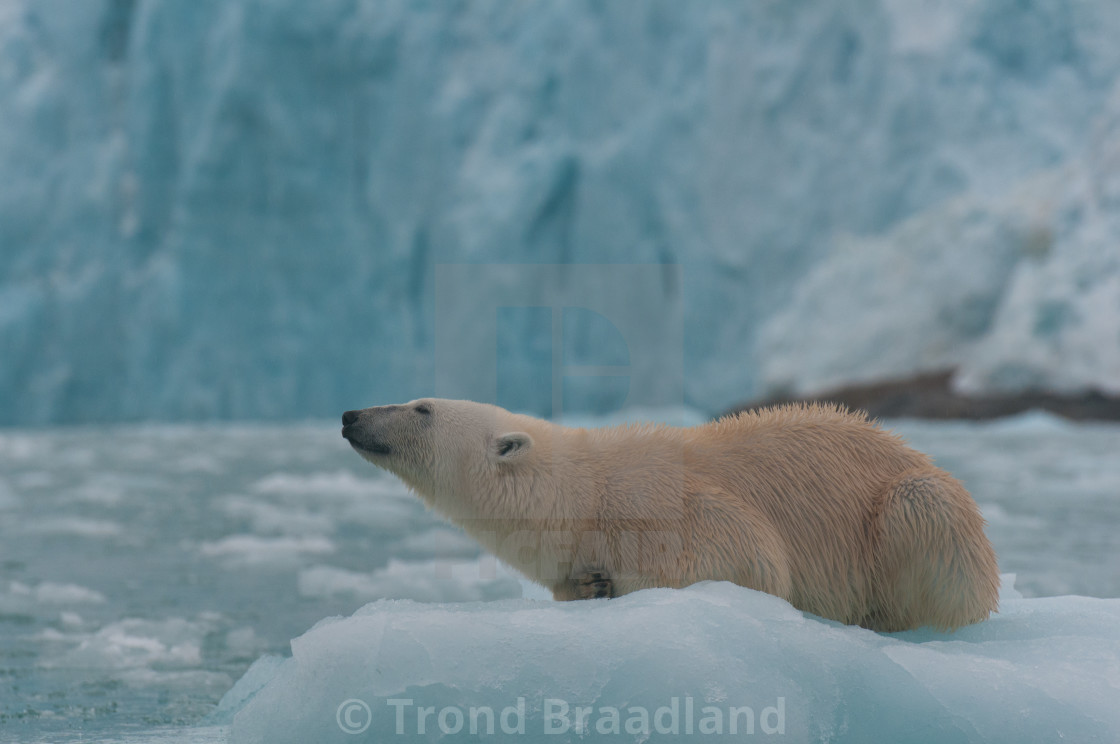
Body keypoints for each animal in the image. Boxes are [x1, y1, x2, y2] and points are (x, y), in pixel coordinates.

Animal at [338, 398, 999, 631]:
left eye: (421, 408)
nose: (350, 415)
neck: (582, 497)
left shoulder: (653, 502)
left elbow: (752, 558)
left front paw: (613, 583)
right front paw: (588, 584)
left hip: (916, 508)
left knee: (921, 517)